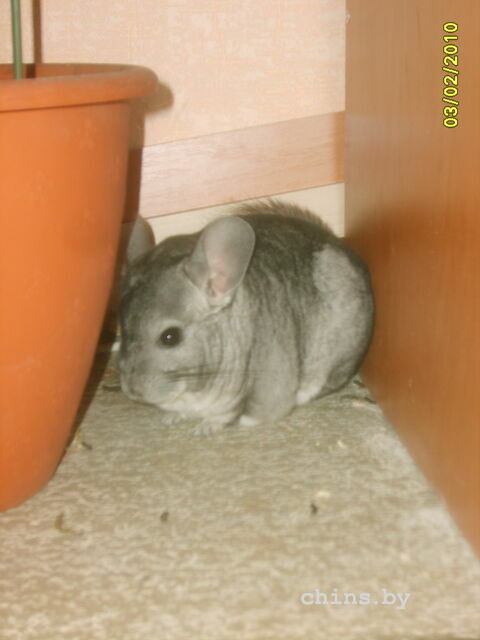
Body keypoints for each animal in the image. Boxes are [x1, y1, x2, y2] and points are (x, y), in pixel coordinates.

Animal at [119, 200, 374, 433]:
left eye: (170, 336)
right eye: (122, 330)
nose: (131, 390)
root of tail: (333, 239)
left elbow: (241, 413)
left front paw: (208, 427)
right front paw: (172, 417)